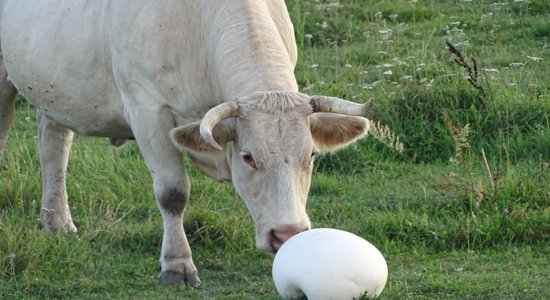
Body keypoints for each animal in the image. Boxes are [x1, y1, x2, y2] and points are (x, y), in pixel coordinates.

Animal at [0, 0, 374, 286]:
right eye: (249, 157)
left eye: (311, 155)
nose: (287, 234)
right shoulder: (146, 108)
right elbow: (173, 192)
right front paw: (177, 264)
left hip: (56, 86)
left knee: (53, 142)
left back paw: (56, 222)